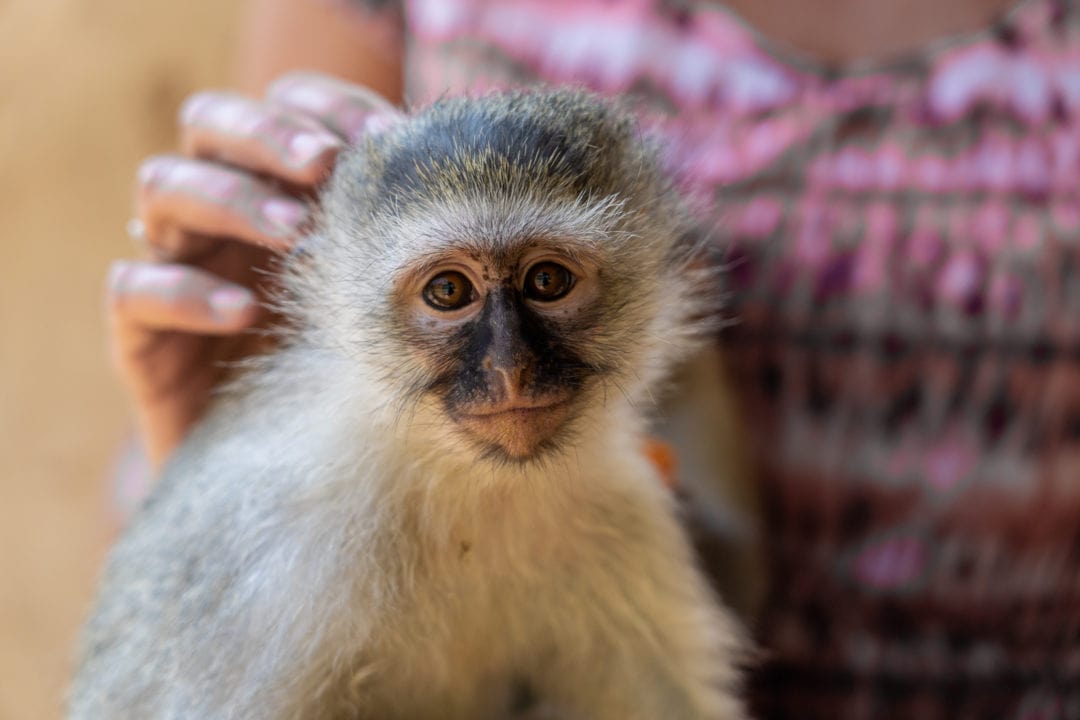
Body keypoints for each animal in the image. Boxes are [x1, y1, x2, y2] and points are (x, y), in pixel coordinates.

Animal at [71, 90, 747, 720]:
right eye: (448, 291)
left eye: (547, 281)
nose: (509, 370)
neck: (473, 487)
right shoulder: (279, 552)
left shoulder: (627, 517)